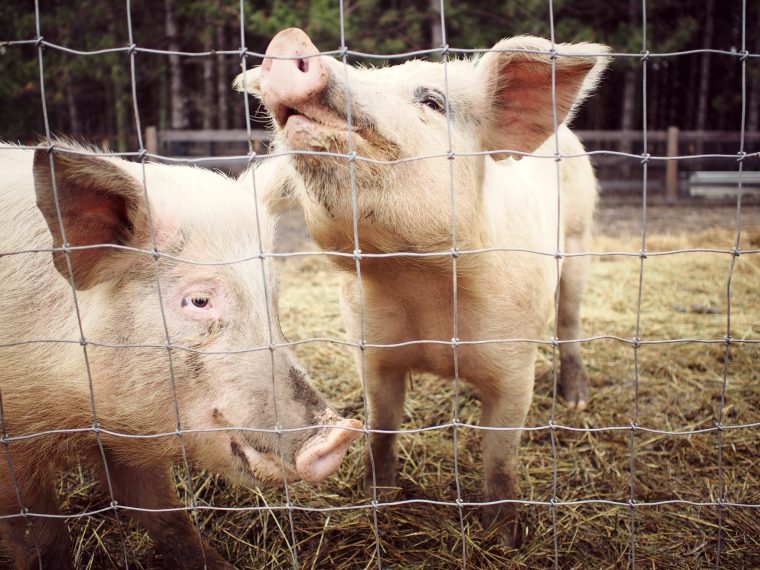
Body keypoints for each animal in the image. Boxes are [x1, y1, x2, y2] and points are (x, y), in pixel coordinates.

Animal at [0, 143, 362, 568]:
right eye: (199, 301)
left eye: (272, 295)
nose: (339, 434)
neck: (77, 416)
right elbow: (42, 538)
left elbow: (164, 512)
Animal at [238, 28, 612, 544]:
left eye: (432, 101)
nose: (290, 41)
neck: (420, 284)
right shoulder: (371, 348)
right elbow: (382, 426)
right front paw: (378, 495)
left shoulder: (516, 363)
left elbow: (500, 453)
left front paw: (503, 535)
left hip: (579, 239)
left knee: (570, 320)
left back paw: (576, 399)